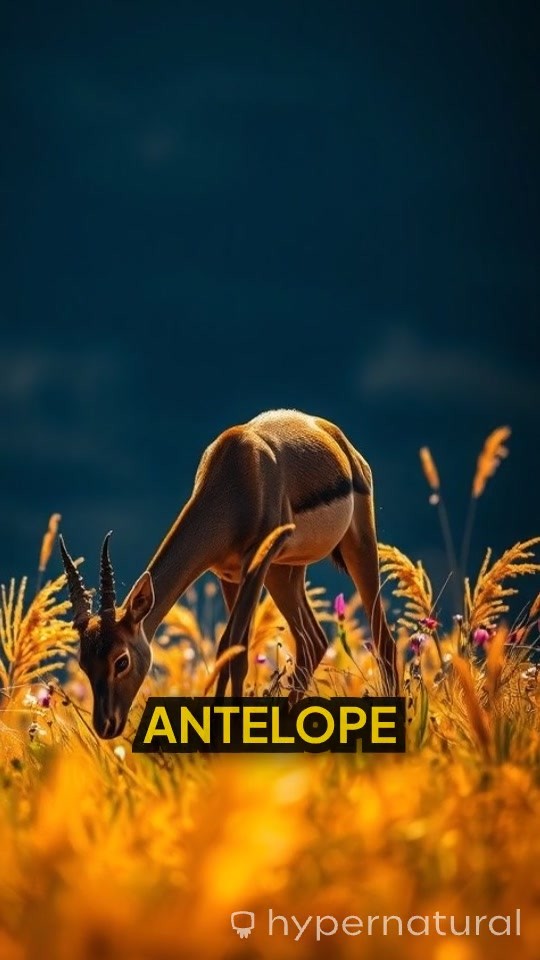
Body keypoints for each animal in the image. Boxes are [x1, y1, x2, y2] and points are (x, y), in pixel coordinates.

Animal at [59, 409, 396, 739]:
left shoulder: (255, 566)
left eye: (121, 660)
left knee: (384, 641)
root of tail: (338, 440)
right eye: (84, 662)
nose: (105, 726)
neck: (240, 474)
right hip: (284, 572)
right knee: (313, 642)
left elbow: (234, 649)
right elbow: (230, 648)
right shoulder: (229, 575)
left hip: (357, 547)